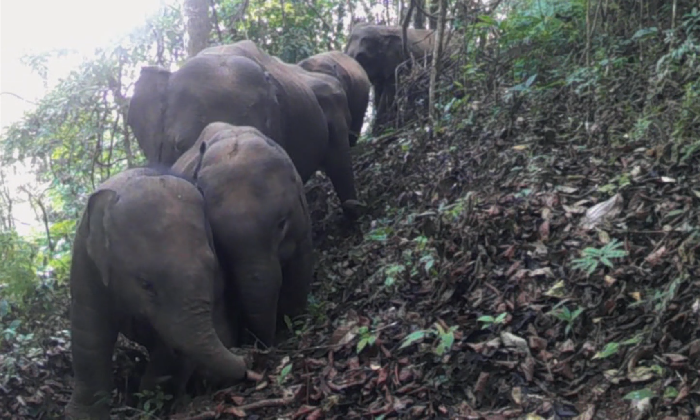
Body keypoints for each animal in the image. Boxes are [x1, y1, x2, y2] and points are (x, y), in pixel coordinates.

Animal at [65, 166, 254, 418]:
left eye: (214, 268)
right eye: (146, 284)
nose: (246, 359)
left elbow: (168, 345)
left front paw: (152, 404)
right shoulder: (85, 264)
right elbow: (90, 334)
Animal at [174, 121, 316, 348]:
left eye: (281, 224)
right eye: (217, 241)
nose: (265, 345)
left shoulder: (301, 221)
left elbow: (300, 264)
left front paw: (294, 321)